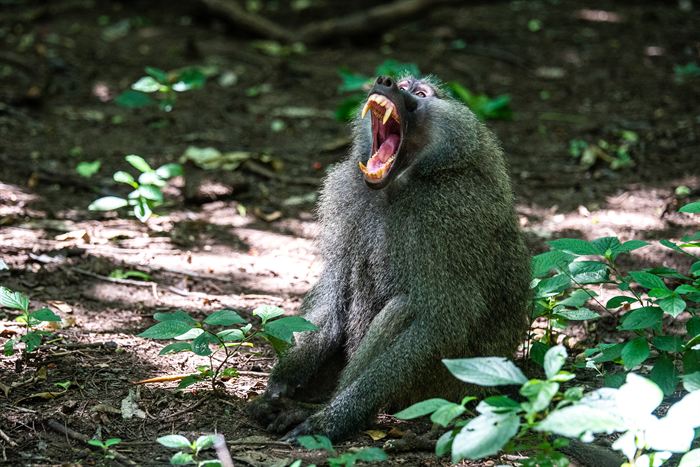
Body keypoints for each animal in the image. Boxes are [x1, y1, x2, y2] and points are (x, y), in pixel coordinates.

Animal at [248, 74, 532, 443]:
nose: (386, 82)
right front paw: (282, 381)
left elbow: (441, 319)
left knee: (403, 310)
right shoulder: (345, 193)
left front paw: (334, 419)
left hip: (444, 388)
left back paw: (318, 411)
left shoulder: (452, 216)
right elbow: (334, 289)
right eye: (402, 83)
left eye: (420, 93)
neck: (401, 184)